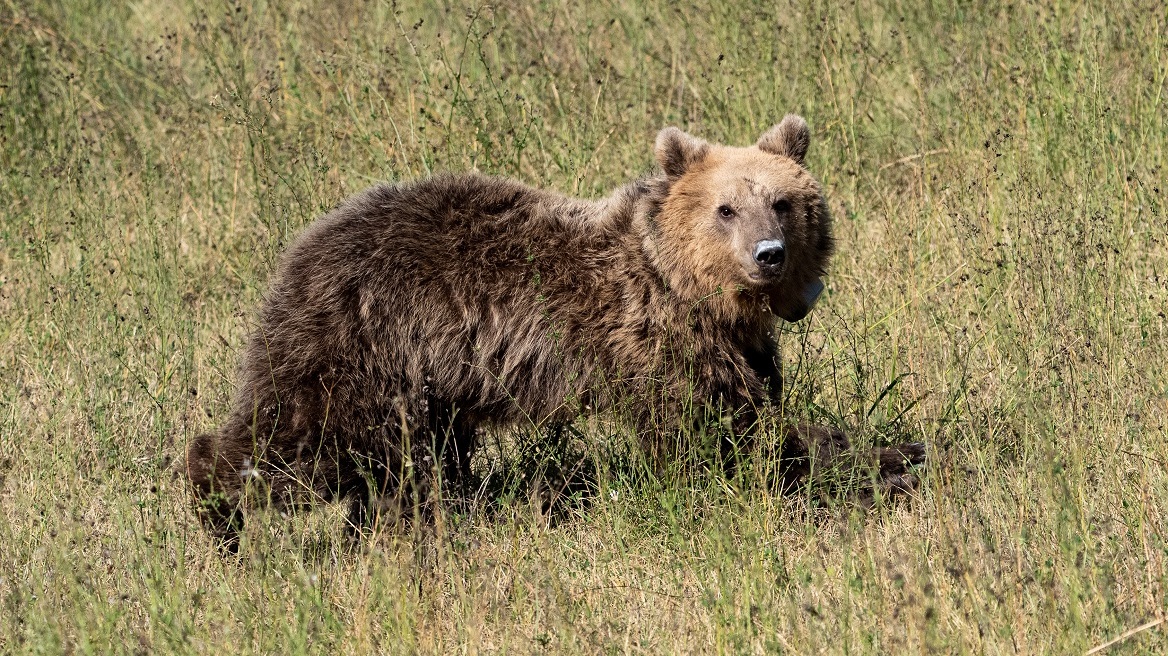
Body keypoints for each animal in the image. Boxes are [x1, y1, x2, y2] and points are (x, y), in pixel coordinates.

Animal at [186, 114, 925, 543]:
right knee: (301, 441)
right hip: (362, 346)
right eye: (725, 208)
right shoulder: (655, 341)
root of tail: (304, 245)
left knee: (410, 463)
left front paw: (897, 452)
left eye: (783, 201)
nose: (768, 254)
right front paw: (881, 463)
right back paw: (219, 513)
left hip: (425, 380)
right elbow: (722, 438)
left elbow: (758, 412)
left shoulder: (739, 346)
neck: (691, 288)